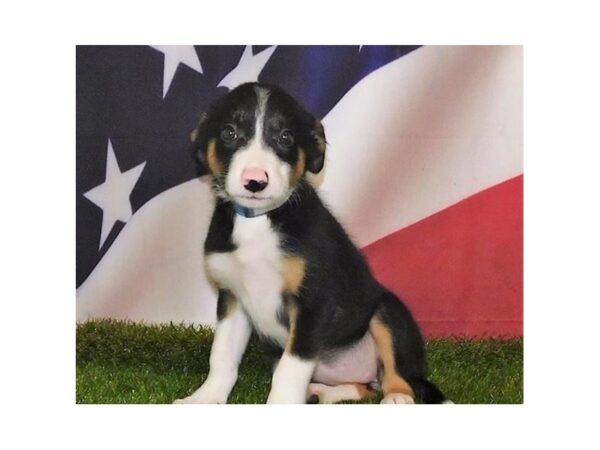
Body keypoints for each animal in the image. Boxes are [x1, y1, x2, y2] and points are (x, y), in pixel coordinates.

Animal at [173, 81, 446, 404]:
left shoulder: (313, 303)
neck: (259, 221)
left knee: (397, 371)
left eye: (285, 137)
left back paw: (397, 396)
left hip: (387, 312)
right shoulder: (232, 299)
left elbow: (289, 371)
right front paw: (205, 397)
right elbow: (222, 357)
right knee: (361, 388)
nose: (255, 182)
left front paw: (280, 405)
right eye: (229, 133)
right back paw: (321, 392)